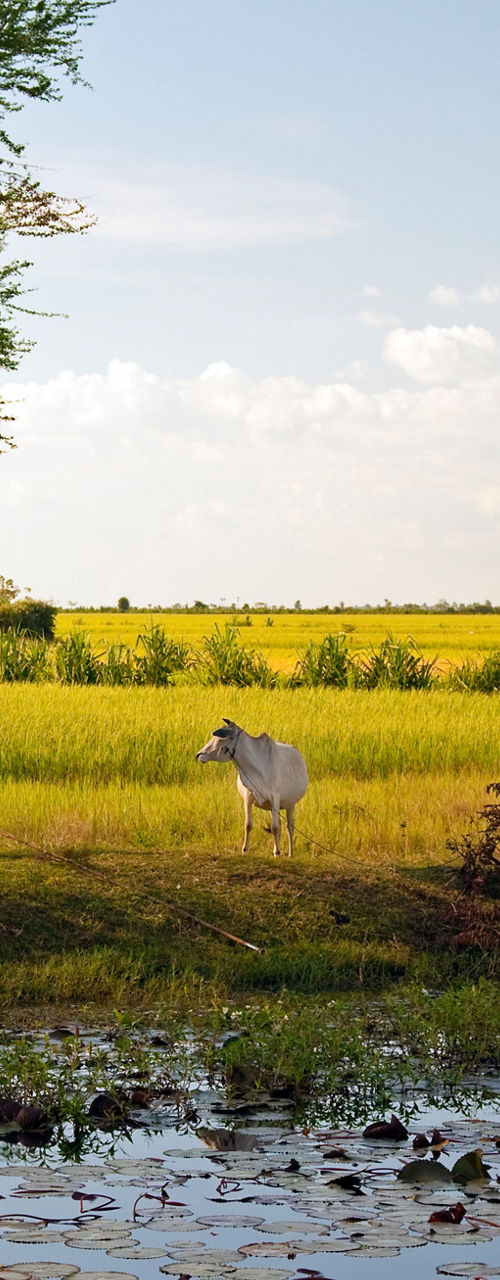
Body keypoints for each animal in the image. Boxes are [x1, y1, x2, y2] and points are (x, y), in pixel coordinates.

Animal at [196, 718, 308, 856]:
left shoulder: (275, 798)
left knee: (289, 827)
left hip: (290, 804)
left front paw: (277, 852)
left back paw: (290, 853)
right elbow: (248, 824)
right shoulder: (248, 797)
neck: (255, 768)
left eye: (219, 738)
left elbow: (275, 827)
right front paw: (245, 849)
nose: (199, 754)